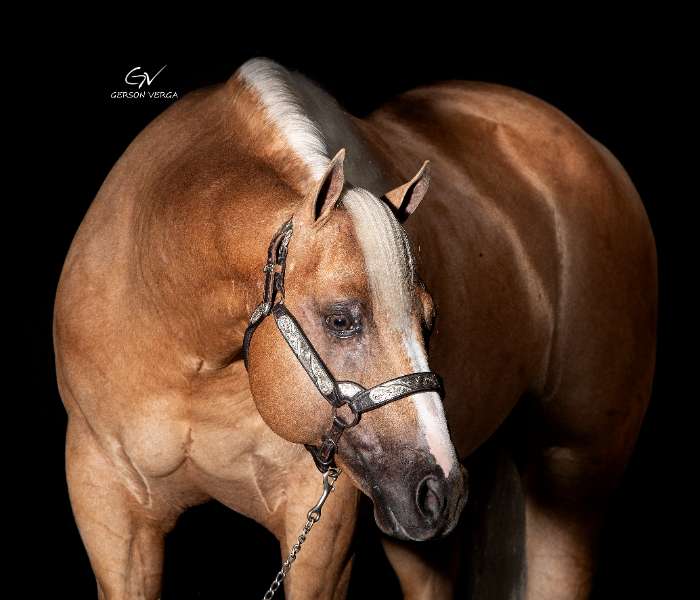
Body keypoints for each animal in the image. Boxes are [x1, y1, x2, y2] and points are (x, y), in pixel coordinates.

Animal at [54, 57, 657, 599]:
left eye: (430, 322)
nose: (442, 489)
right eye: (342, 319)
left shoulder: (321, 526)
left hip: (574, 477)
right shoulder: (108, 506)